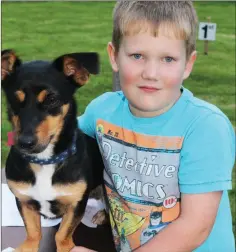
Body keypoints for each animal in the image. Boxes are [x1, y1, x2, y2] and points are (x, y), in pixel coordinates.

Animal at [1, 49, 107, 252]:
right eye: (14, 100)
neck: (45, 161)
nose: (24, 142)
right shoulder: (23, 200)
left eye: (51, 99)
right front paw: (27, 247)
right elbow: (33, 232)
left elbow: (62, 235)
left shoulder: (76, 204)